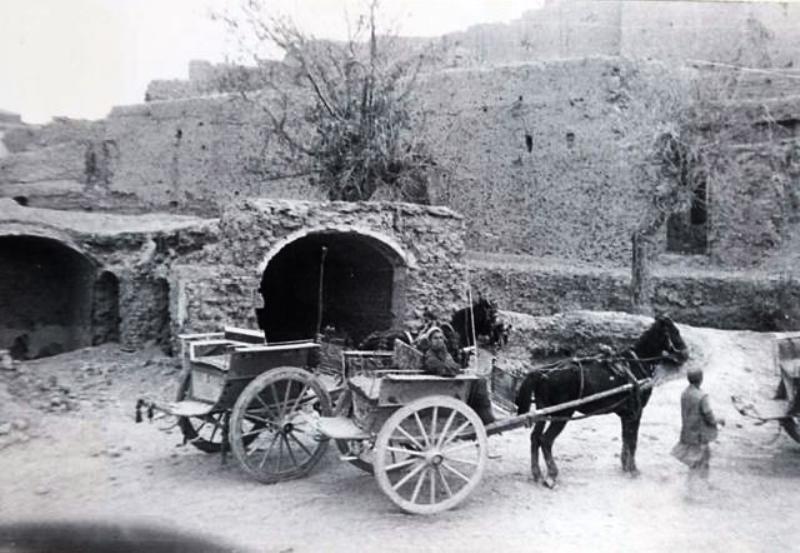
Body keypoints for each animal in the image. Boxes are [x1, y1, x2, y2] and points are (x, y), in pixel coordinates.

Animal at [514, 315, 688, 488]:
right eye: (675, 332)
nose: (686, 354)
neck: (635, 364)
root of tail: (544, 372)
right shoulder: (636, 412)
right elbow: (633, 441)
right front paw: (633, 470)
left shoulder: (627, 414)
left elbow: (625, 438)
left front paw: (625, 466)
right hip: (562, 413)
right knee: (545, 440)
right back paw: (552, 475)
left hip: (544, 412)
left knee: (535, 438)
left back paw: (536, 473)